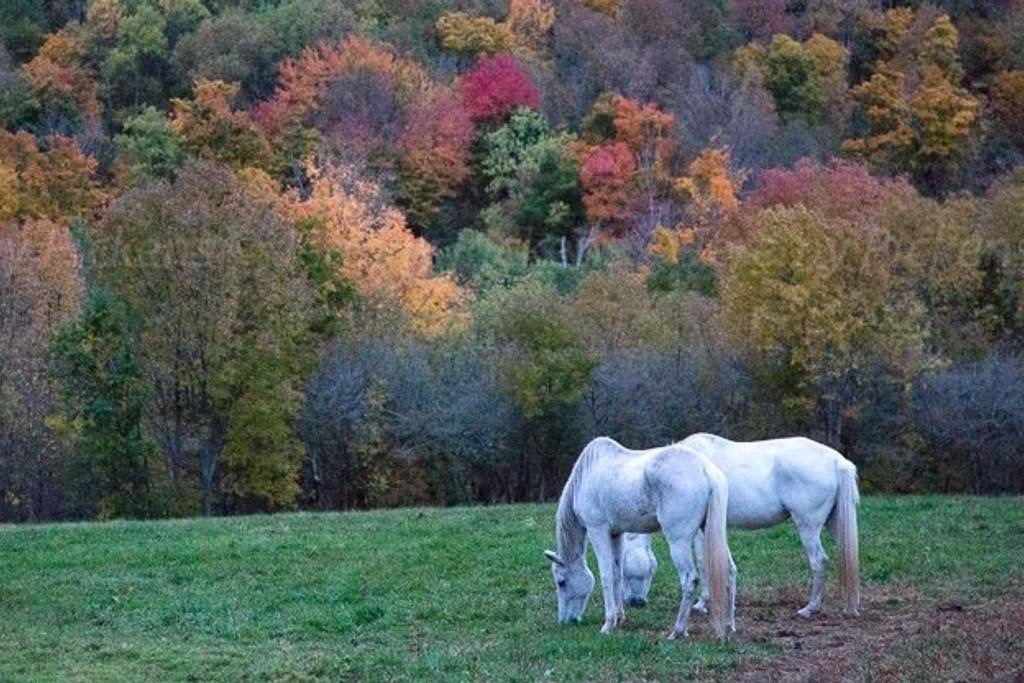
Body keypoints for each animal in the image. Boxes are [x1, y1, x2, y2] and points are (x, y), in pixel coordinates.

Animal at [544, 438, 737, 643]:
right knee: (728, 571)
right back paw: (728, 625)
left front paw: (608, 623)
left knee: (689, 580)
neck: (587, 474)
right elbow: (618, 574)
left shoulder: (598, 531)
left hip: (679, 541)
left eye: (561, 582)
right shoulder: (616, 534)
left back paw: (677, 630)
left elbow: (606, 575)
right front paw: (619, 617)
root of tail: (705, 469)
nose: (564, 621)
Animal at [622, 436, 856, 622]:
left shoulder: (698, 532)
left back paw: (810, 609)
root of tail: (837, 461)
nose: (635, 602)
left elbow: (703, 562)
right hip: (834, 523)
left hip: (808, 526)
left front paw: (702, 603)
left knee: (819, 562)